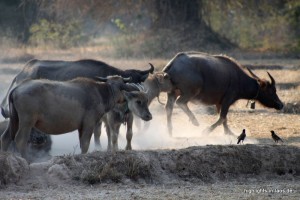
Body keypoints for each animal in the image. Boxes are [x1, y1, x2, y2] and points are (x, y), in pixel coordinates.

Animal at [0, 77, 152, 159]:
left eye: (145, 101)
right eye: (139, 101)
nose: (148, 116)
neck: (103, 92)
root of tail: (17, 89)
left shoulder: (81, 127)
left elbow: (82, 144)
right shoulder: (89, 124)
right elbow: (85, 145)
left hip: (14, 120)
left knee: (6, 138)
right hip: (26, 122)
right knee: (20, 139)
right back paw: (26, 159)